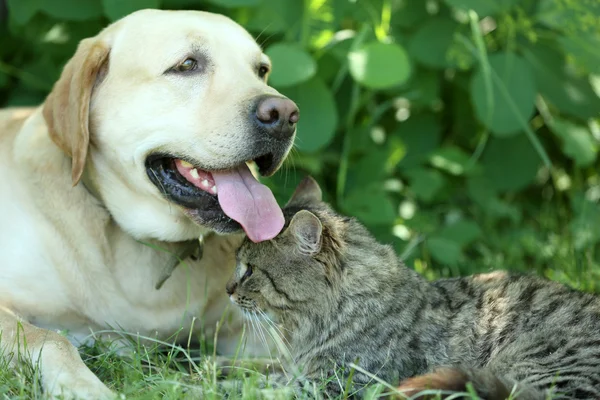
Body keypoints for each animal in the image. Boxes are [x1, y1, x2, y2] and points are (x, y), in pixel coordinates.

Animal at [225, 177, 600, 400]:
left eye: (249, 270)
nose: (228, 289)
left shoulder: (334, 384)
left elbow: (258, 388)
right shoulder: (296, 371)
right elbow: (252, 370)